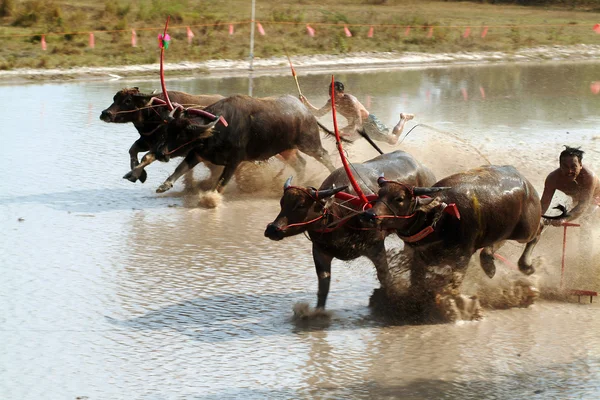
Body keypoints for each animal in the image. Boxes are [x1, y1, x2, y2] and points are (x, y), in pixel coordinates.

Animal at [125, 94, 338, 194]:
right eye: (167, 131)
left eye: (182, 135)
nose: (161, 153)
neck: (219, 129)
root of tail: (304, 110)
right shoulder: (197, 154)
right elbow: (180, 169)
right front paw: (164, 185)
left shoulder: (234, 161)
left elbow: (220, 183)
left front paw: (211, 199)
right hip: (286, 150)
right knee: (300, 164)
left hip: (309, 143)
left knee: (325, 156)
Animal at [262, 150, 436, 310]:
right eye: (282, 202)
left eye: (300, 205)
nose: (272, 229)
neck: (341, 214)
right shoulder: (320, 251)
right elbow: (323, 285)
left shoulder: (376, 246)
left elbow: (384, 277)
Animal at [366, 164, 544, 292]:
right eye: (379, 194)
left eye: (399, 198)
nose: (369, 215)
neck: (439, 220)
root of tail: (526, 184)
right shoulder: (419, 258)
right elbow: (416, 283)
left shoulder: (462, 258)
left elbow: (453, 283)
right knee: (497, 242)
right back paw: (489, 264)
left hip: (526, 230)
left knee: (539, 229)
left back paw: (526, 266)